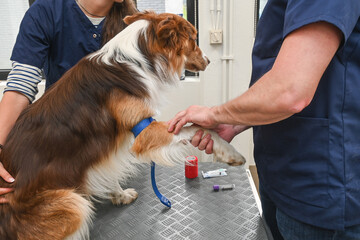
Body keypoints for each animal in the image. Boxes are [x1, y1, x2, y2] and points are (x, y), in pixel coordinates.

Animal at [0, 11, 245, 240]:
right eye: (194, 39)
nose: (209, 60)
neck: (139, 60)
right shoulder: (145, 130)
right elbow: (197, 127)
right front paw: (230, 153)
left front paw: (119, 195)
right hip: (72, 203)